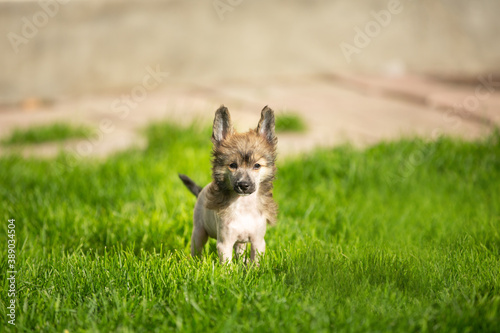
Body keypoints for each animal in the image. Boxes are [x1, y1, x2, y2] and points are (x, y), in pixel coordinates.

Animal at [179, 105, 278, 264]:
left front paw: (254, 269)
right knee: (197, 248)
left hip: (240, 243)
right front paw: (229, 271)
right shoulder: (224, 243)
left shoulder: (257, 242)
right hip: (199, 231)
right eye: (232, 165)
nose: (243, 185)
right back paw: (196, 263)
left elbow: (255, 261)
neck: (244, 206)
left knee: (240, 252)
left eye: (257, 165)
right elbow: (227, 265)